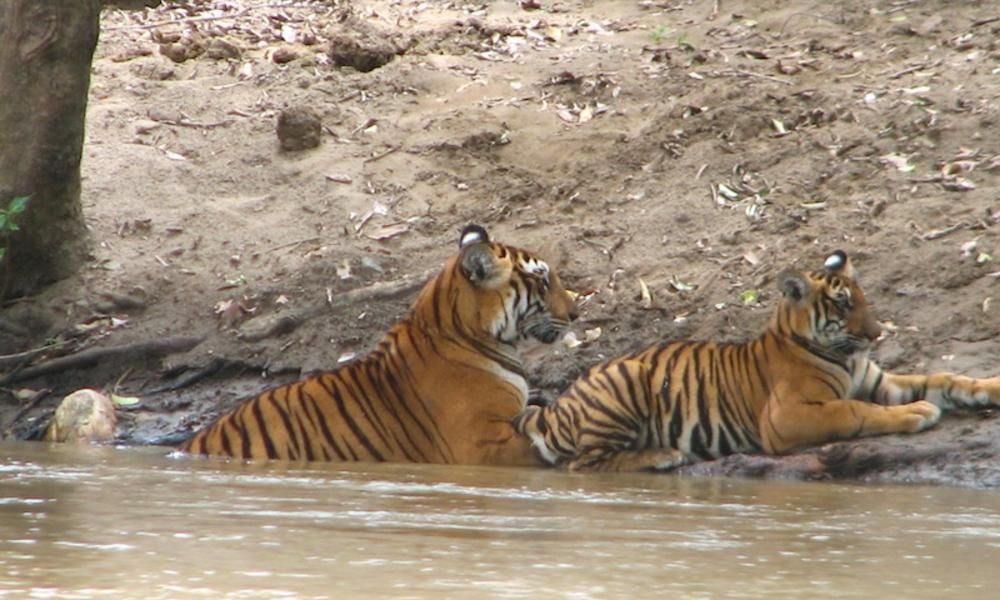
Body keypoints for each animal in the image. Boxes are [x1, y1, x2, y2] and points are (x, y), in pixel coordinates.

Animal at [516, 251, 1000, 472]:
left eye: (863, 299)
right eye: (843, 304)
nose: (876, 334)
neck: (843, 355)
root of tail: (560, 404)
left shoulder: (880, 381)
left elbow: (945, 377)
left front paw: (987, 388)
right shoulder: (788, 416)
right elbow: (855, 410)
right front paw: (918, 412)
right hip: (627, 379)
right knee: (585, 463)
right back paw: (664, 455)